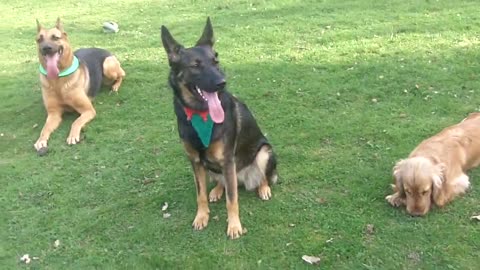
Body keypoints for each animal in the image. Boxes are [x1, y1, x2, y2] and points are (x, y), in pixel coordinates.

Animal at [35, 17, 125, 155]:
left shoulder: (88, 110)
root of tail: (106, 50)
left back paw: (115, 86)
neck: (58, 82)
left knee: (122, 74)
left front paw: (73, 135)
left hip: (108, 67)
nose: (46, 48)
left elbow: (76, 122)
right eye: (39, 39)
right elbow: (45, 128)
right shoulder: (54, 114)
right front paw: (41, 140)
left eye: (55, 37)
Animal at [161, 17, 278, 239]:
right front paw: (201, 217)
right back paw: (216, 190)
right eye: (195, 65)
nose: (222, 83)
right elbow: (200, 194)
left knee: (263, 177)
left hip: (264, 152)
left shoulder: (227, 161)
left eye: (216, 62)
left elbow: (232, 200)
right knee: (222, 182)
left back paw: (263, 189)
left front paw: (234, 226)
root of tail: (243, 178)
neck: (200, 115)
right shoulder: (195, 162)